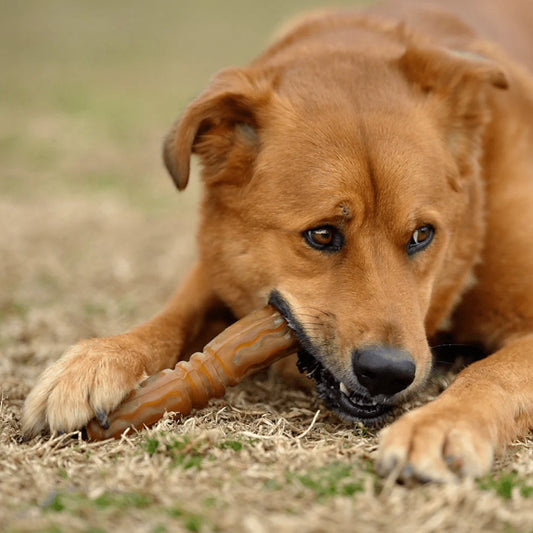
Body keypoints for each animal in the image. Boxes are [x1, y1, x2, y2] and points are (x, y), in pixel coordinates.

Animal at [22, 0, 532, 482]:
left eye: (422, 235)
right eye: (322, 234)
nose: (388, 373)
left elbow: (492, 371)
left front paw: (443, 423)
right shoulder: (216, 264)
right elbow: (174, 315)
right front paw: (98, 360)